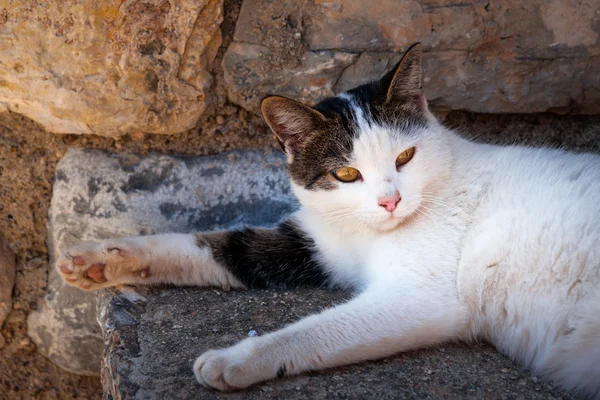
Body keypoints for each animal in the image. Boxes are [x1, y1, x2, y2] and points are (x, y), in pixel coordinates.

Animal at [56, 43, 600, 396]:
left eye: (405, 157)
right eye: (346, 173)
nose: (389, 201)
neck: (368, 234)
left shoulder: (421, 297)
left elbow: (314, 331)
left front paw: (235, 360)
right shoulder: (311, 244)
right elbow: (214, 246)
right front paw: (100, 259)